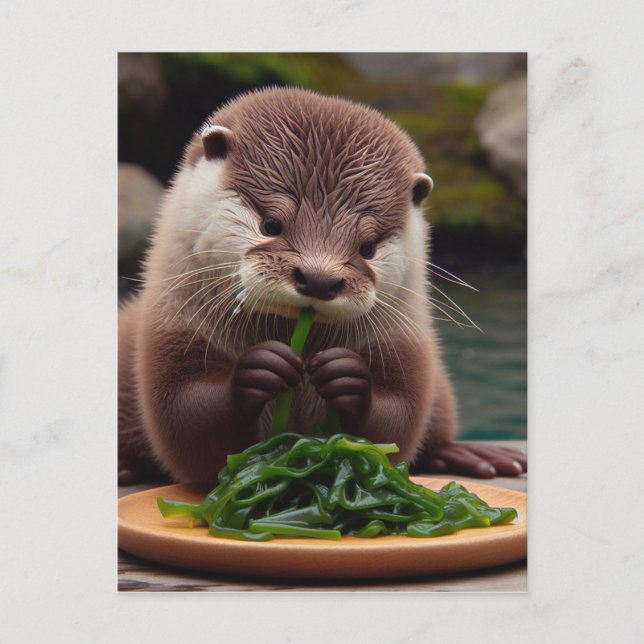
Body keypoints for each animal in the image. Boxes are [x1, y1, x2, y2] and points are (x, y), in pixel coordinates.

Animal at [118, 87, 526, 490]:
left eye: (367, 247)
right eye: (271, 224)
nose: (318, 278)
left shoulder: (402, 346)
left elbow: (397, 422)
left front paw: (348, 376)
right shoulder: (176, 328)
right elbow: (188, 425)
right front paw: (258, 368)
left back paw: (471, 454)